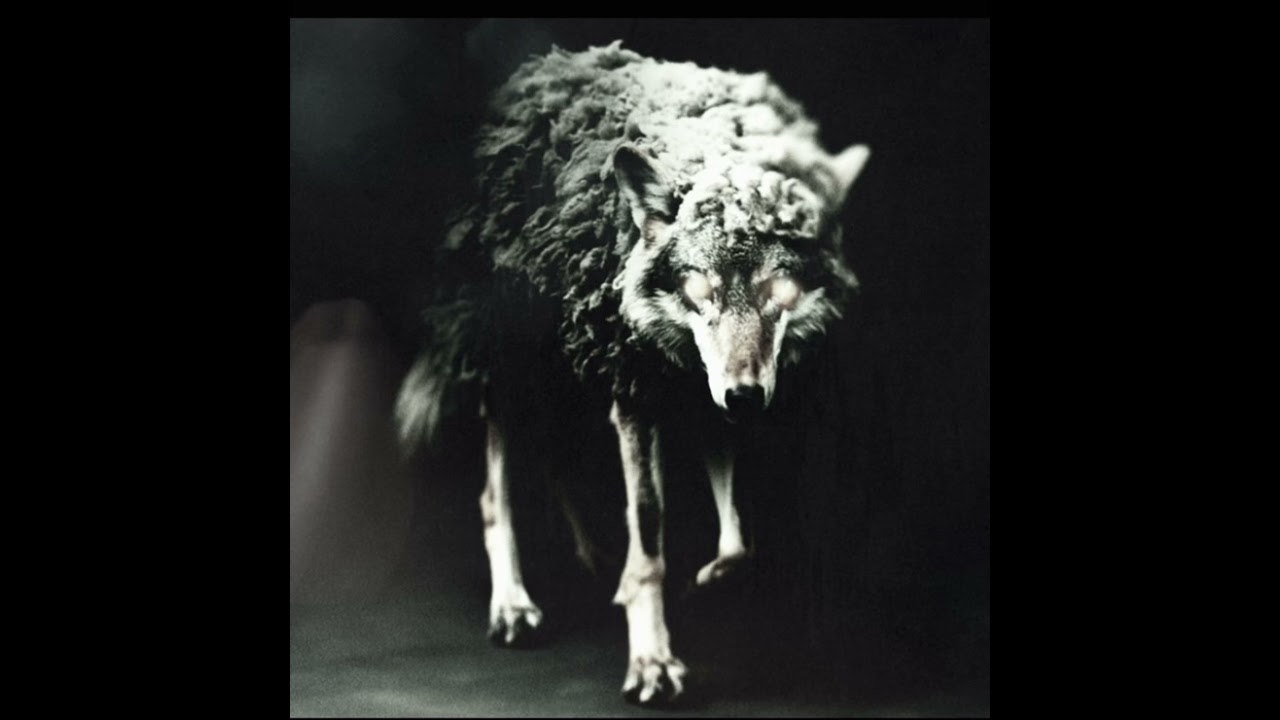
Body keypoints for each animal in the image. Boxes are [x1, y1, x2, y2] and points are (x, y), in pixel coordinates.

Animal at [396, 41, 869, 705]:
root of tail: (530, 73)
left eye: (777, 290)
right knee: (494, 495)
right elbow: (648, 538)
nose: (745, 396)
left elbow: (739, 541)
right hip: (510, 370)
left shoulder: (704, 402)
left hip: (568, 372)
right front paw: (651, 659)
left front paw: (707, 582)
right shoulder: (637, 398)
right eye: (702, 288)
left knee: (557, 460)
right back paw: (513, 606)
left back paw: (592, 558)